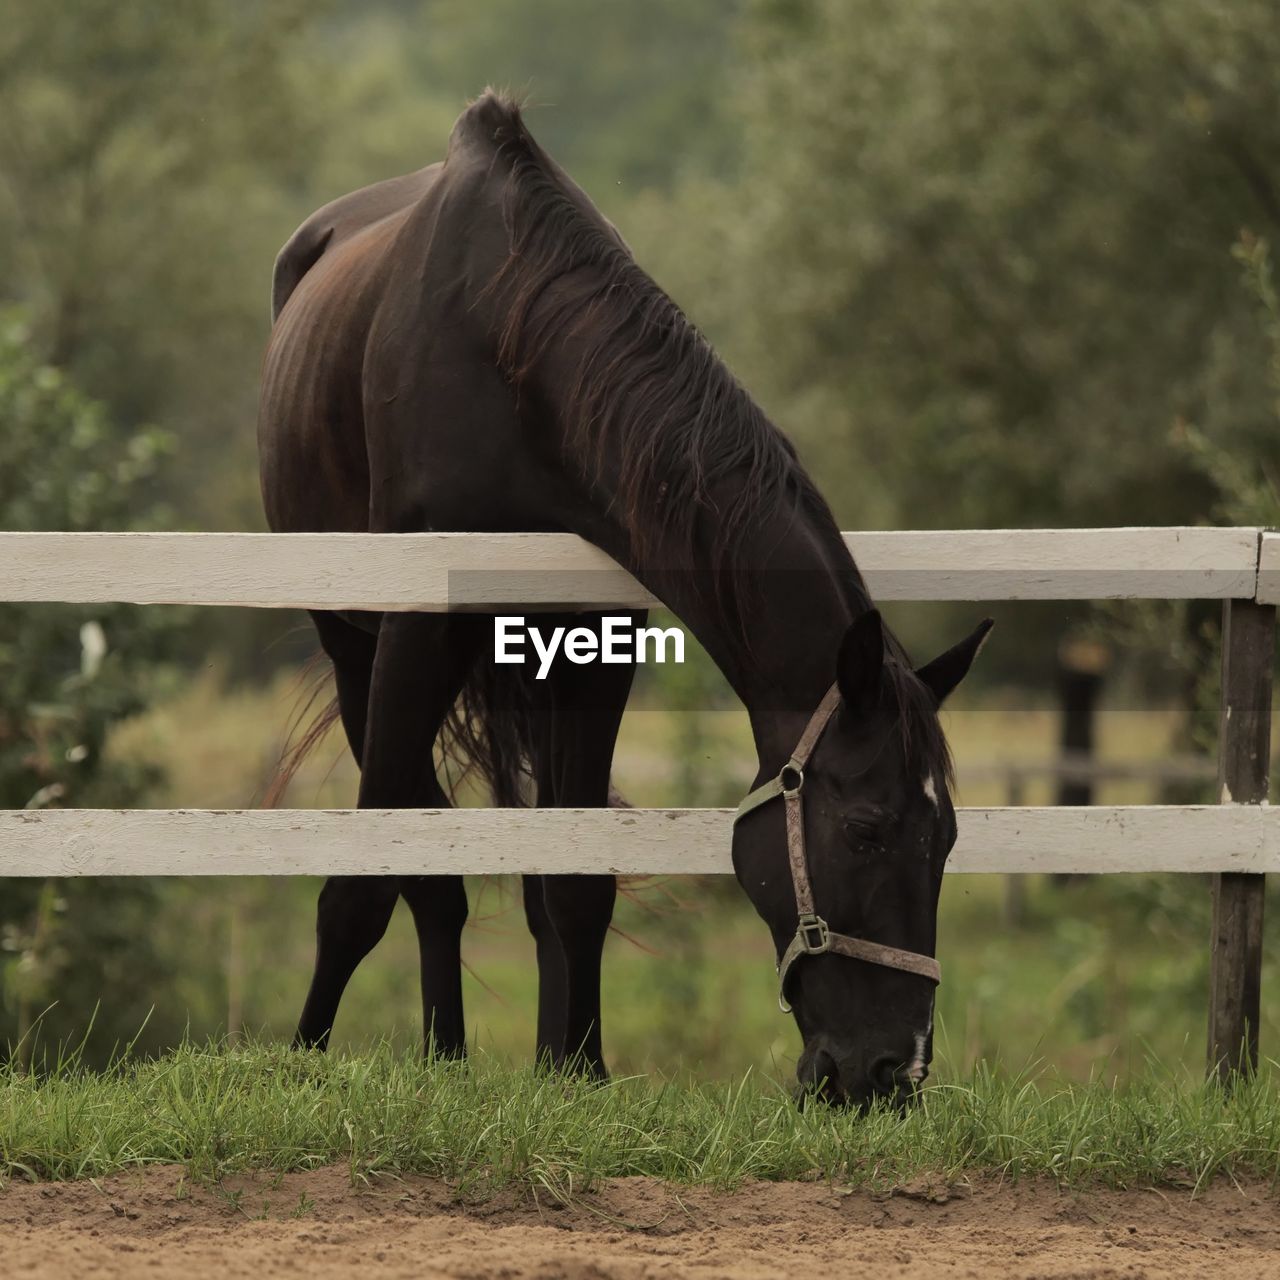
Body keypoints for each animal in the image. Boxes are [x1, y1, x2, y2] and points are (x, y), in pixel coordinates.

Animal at [252, 90, 988, 1111]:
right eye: (867, 830)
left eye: (946, 836)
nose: (890, 1072)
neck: (515, 366)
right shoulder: (415, 637)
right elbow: (362, 887)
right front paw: (304, 1065)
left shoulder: (595, 646)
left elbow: (575, 883)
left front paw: (578, 1075)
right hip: (355, 649)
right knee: (421, 869)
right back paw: (432, 1058)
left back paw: (462, 1060)